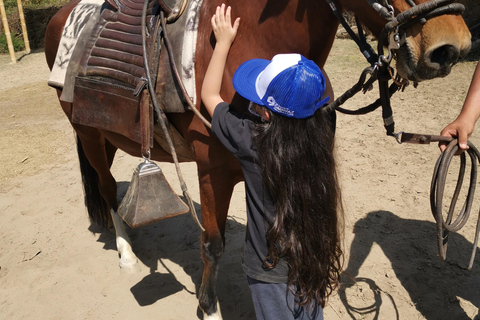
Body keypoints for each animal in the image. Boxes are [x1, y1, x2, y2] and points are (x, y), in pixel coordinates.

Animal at [43, 0, 470, 318]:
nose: (451, 46)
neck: (252, 42)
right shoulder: (212, 172)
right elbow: (212, 245)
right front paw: (208, 309)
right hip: (89, 135)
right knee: (106, 187)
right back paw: (126, 255)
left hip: (110, 134)